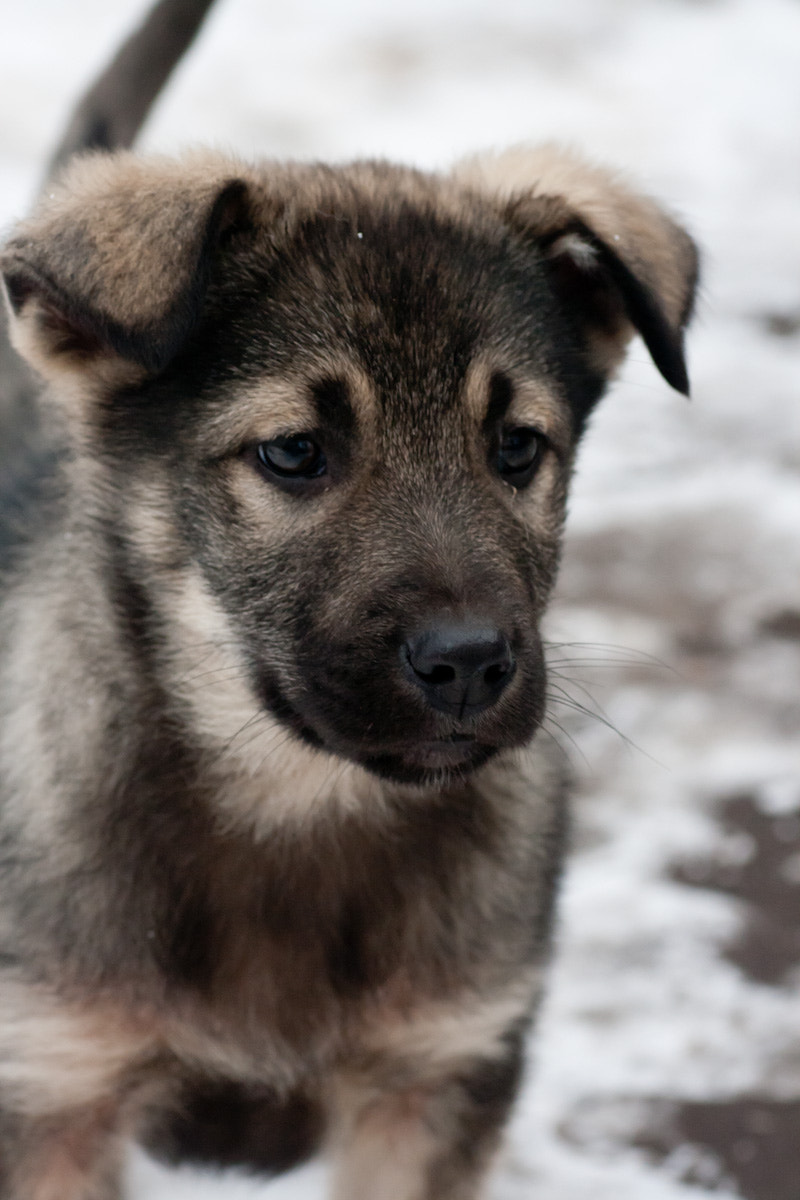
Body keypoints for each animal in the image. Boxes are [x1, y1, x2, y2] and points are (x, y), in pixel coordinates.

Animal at [0, 9, 695, 1200]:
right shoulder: (53, 1091)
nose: (468, 663)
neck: (298, 806)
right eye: (293, 453)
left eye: (517, 447)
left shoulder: (436, 1077)